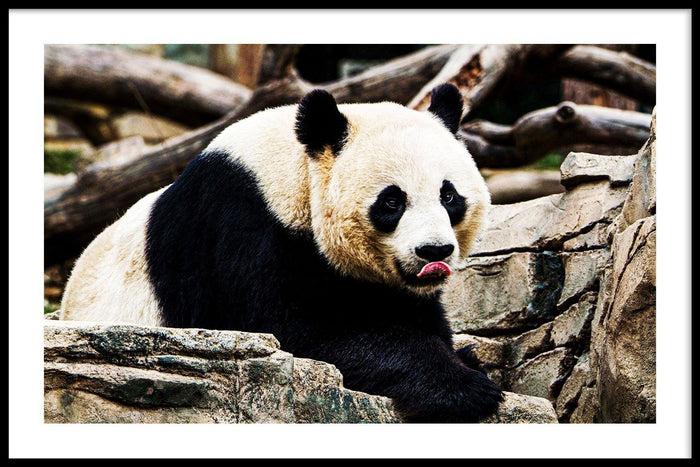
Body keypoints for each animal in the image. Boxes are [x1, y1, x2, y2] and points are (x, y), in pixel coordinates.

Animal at [60, 83, 503, 422]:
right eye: (392, 201)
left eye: (449, 196)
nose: (434, 251)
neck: (294, 172)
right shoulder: (241, 224)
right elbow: (289, 329)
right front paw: (463, 387)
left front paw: (466, 358)